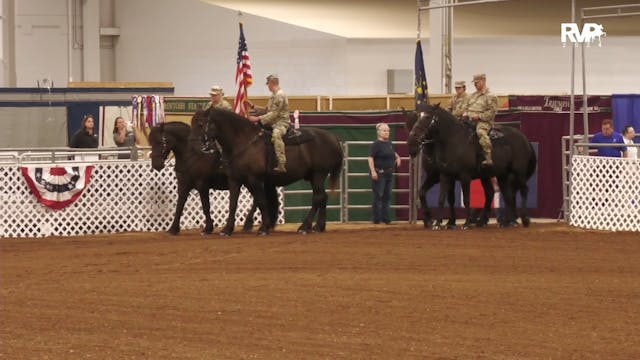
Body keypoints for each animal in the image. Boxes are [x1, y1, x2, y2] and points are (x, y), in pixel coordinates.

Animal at [202, 107, 344, 236]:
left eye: (204, 123)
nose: (203, 144)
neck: (244, 142)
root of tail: (333, 138)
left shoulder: (255, 180)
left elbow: (261, 202)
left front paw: (263, 228)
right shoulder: (234, 180)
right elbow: (232, 204)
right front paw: (227, 230)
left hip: (319, 174)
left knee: (318, 198)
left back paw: (304, 227)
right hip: (314, 177)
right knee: (323, 197)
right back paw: (318, 226)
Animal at [408, 104, 536, 228]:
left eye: (427, 117)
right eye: (417, 117)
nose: (412, 141)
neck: (454, 141)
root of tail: (524, 138)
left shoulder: (464, 176)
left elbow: (466, 200)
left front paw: (466, 223)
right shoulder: (445, 175)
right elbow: (441, 198)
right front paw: (438, 224)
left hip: (518, 173)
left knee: (523, 191)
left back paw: (523, 219)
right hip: (500, 175)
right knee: (504, 195)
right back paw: (501, 222)